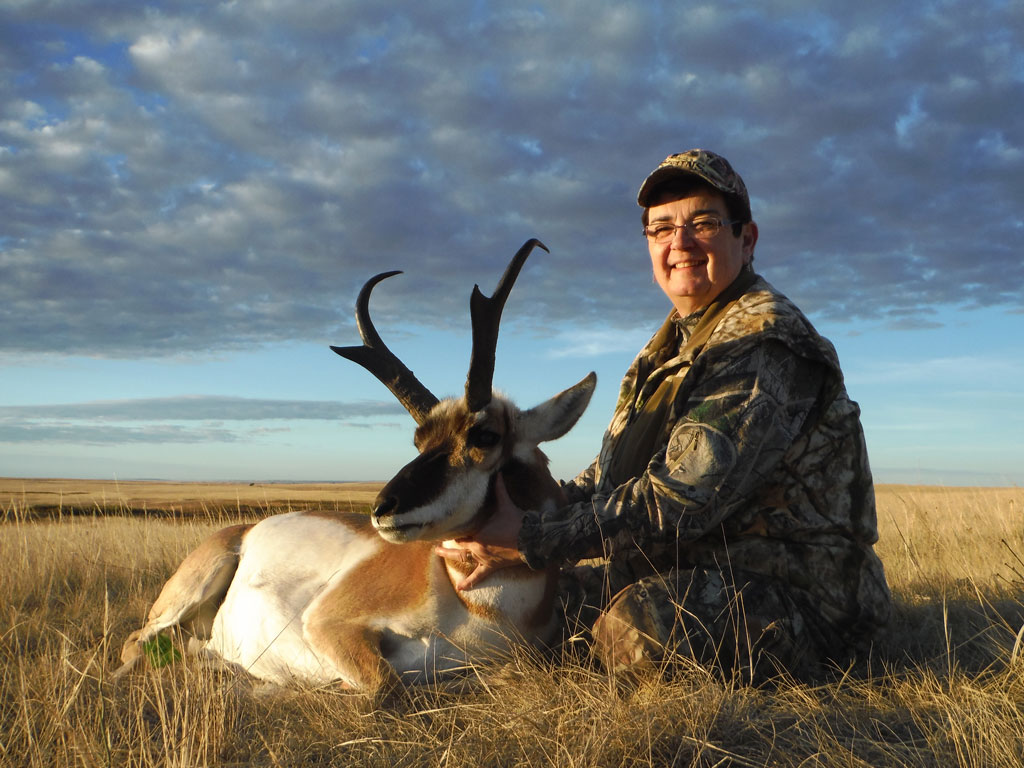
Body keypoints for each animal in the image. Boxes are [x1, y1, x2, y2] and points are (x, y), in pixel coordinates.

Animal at [115, 243, 598, 700]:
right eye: (419, 440)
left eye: (484, 435)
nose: (383, 509)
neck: (480, 611)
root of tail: (245, 530)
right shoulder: (327, 624)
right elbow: (386, 685)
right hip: (189, 591)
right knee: (136, 642)